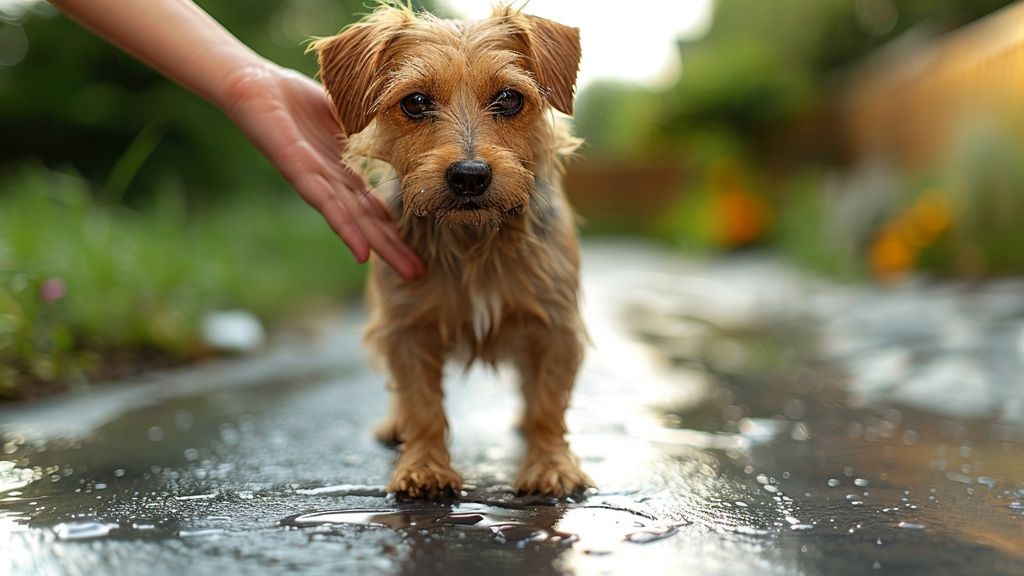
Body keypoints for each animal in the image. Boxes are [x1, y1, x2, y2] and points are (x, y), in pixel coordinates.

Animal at [307, 3, 589, 498]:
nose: (470, 175)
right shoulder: (405, 328)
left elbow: (548, 405)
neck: (473, 239)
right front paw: (424, 466)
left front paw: (551, 464)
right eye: (415, 102)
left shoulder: (556, 326)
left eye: (510, 99)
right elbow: (422, 404)